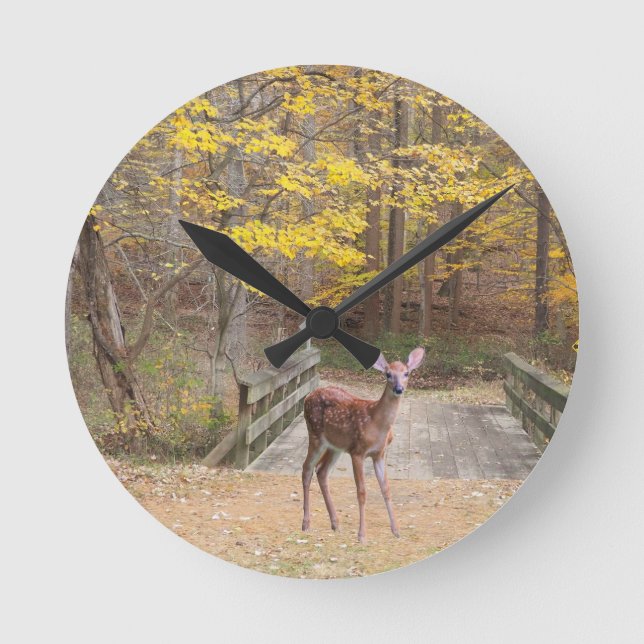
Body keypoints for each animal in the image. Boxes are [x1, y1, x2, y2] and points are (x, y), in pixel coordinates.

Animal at [301, 347, 425, 543]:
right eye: (388, 374)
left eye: (406, 373)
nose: (399, 389)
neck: (376, 423)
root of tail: (306, 397)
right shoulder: (357, 452)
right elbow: (362, 492)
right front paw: (362, 535)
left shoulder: (379, 454)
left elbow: (386, 489)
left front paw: (396, 531)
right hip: (315, 434)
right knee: (307, 469)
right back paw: (306, 524)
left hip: (335, 446)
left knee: (321, 471)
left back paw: (335, 524)